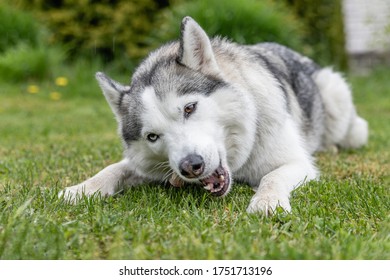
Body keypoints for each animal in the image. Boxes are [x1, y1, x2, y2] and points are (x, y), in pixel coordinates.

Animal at [59, 17, 368, 214]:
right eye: (152, 137)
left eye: (189, 108)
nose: (190, 166)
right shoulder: (145, 165)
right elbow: (114, 168)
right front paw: (80, 189)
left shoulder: (296, 163)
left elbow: (271, 178)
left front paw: (266, 202)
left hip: (338, 99)